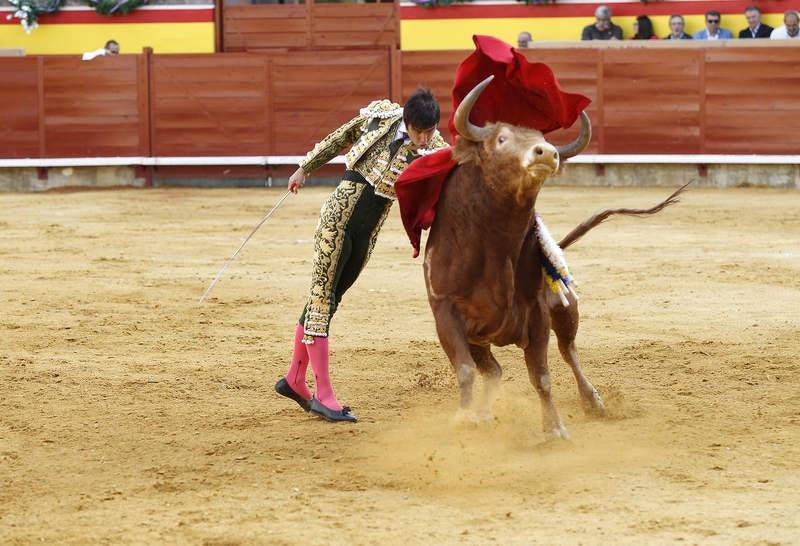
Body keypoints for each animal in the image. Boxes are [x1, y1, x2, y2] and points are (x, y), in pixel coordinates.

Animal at [424, 75, 688, 438]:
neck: (496, 243)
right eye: (501, 138)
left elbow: (542, 375)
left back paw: (593, 400)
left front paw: (554, 430)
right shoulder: (446, 312)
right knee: (493, 371)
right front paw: (465, 418)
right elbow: (465, 369)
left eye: (543, 139)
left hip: (566, 310)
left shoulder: (537, 315)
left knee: (569, 351)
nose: (547, 153)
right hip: (483, 337)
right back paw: (484, 413)